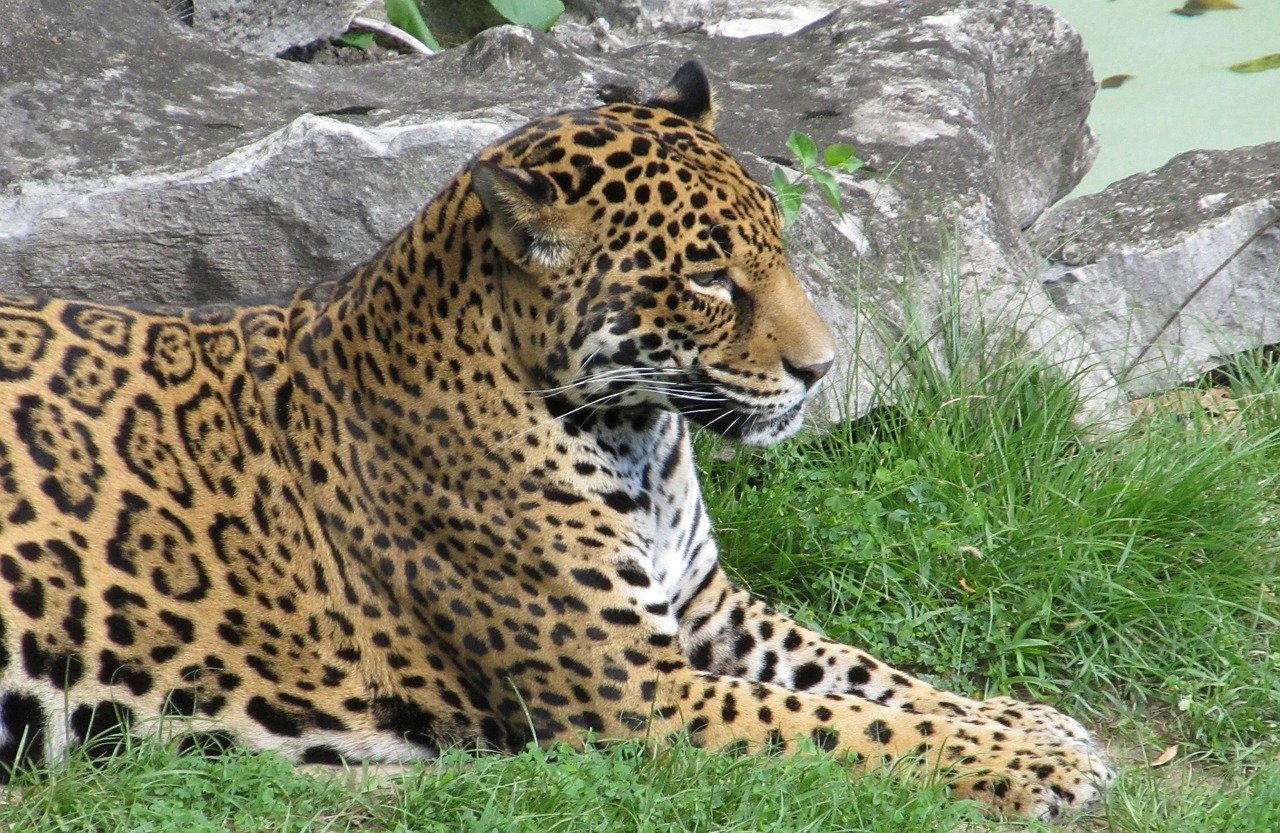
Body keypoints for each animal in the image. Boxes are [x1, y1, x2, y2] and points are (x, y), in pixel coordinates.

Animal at [0, 61, 1112, 820]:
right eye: (707, 277)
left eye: (778, 242)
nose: (823, 367)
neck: (635, 434)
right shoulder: (638, 695)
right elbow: (850, 719)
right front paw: (1031, 761)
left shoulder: (708, 607)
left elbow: (869, 673)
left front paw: (1023, 721)